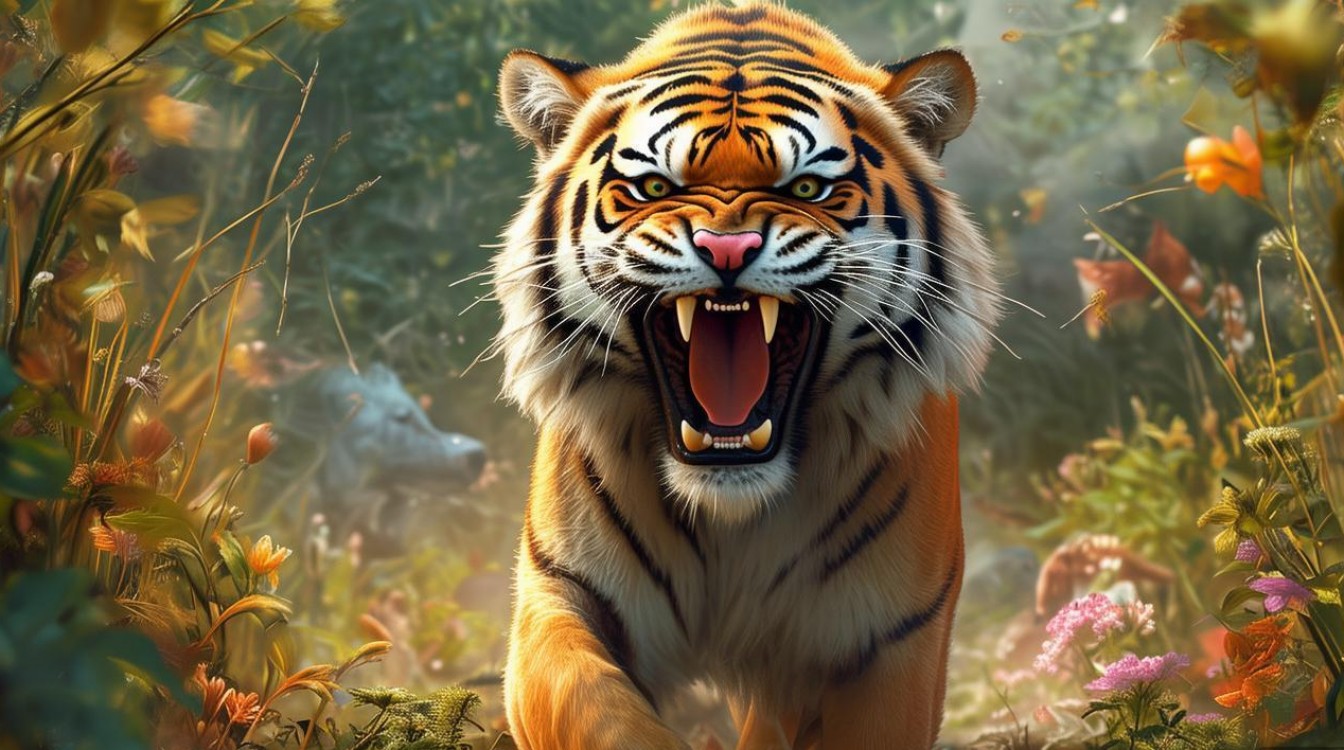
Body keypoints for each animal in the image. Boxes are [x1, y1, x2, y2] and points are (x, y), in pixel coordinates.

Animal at [490, 2, 1000, 748]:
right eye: (653, 188)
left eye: (808, 188)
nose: (726, 248)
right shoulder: (559, 596)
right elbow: (601, 712)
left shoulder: (891, 642)